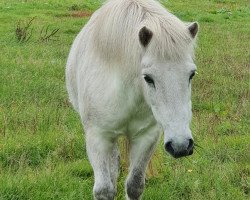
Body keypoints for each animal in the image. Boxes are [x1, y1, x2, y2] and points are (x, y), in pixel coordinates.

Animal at [65, 0, 198, 198]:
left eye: (191, 74)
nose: (180, 145)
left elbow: (134, 186)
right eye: (148, 78)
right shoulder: (98, 137)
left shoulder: (147, 137)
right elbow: (104, 190)